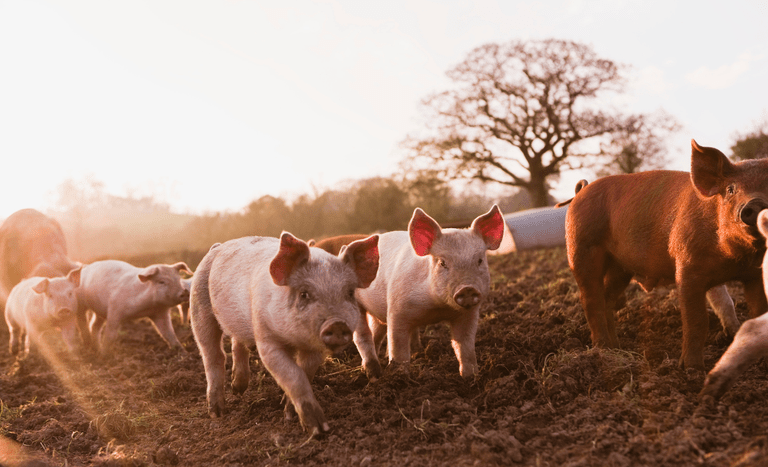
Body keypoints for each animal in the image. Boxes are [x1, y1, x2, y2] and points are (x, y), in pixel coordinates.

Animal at [190, 234, 380, 436]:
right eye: (304, 294)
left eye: (350, 293)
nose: (337, 323)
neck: (295, 340)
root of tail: (217, 247)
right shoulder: (266, 340)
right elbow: (294, 375)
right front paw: (318, 430)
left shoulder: (314, 349)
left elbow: (305, 373)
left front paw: (289, 413)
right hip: (199, 308)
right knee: (213, 355)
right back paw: (217, 413)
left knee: (237, 344)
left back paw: (238, 390)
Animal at [352, 206, 504, 380]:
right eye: (442, 262)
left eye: (479, 260)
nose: (467, 288)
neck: (437, 308)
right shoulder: (397, 310)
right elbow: (398, 347)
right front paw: (400, 377)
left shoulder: (469, 314)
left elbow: (464, 345)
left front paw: (470, 377)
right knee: (362, 336)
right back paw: (372, 372)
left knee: (376, 333)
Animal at [564, 139, 768, 370]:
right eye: (731, 189)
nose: (755, 204)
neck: (733, 259)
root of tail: (581, 191)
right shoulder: (687, 269)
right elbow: (697, 320)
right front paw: (691, 369)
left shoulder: (754, 275)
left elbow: (756, 312)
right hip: (581, 249)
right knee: (591, 299)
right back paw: (602, 350)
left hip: (620, 267)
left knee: (607, 298)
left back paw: (617, 348)